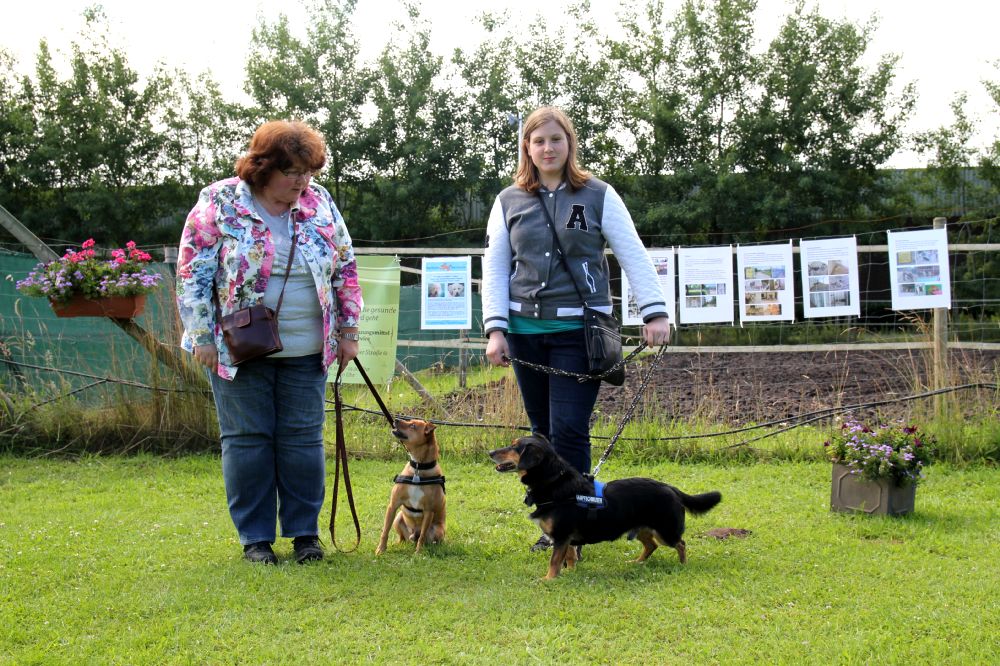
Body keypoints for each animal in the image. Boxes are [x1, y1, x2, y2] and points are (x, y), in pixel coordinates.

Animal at [376, 418, 446, 552]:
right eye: (409, 421)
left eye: (412, 426)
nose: (396, 419)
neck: (418, 468)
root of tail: (412, 535)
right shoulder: (393, 505)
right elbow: (385, 531)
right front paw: (380, 550)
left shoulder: (429, 511)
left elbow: (422, 536)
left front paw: (418, 552)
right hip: (398, 518)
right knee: (402, 538)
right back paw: (398, 544)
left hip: (437, 529)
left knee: (427, 539)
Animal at [490, 434, 720, 572]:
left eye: (514, 447)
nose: (490, 453)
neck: (553, 482)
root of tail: (670, 487)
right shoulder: (566, 539)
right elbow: (570, 557)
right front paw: (569, 574)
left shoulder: (562, 536)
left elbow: (554, 561)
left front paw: (548, 580)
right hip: (642, 527)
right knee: (651, 545)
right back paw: (636, 562)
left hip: (666, 530)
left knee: (680, 544)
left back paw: (683, 565)